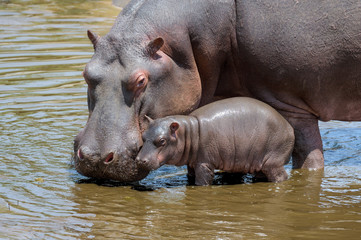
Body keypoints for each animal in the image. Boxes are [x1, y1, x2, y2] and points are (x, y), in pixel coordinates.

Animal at [136, 97, 294, 186]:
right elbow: (190, 175)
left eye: (162, 140)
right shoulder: (191, 163)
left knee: (281, 176)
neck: (187, 132)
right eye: (143, 136)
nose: (139, 160)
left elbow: (202, 181)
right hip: (260, 162)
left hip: (273, 162)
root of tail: (289, 127)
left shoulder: (204, 163)